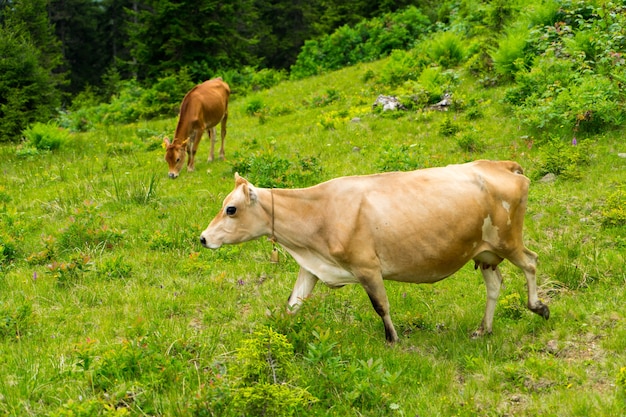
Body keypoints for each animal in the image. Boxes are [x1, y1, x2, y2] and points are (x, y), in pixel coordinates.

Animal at [199, 159, 544, 342]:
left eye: (230, 209)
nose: (202, 238)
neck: (319, 213)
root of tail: (501, 164)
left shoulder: (367, 267)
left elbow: (381, 306)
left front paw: (392, 339)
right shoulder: (311, 267)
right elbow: (293, 304)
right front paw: (278, 335)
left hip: (508, 240)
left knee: (531, 262)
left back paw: (538, 306)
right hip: (484, 252)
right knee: (495, 284)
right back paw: (484, 329)